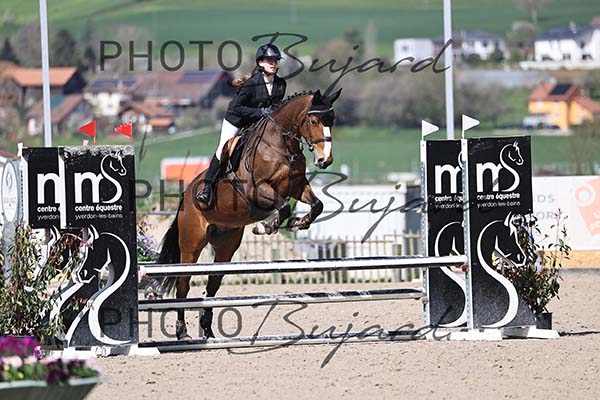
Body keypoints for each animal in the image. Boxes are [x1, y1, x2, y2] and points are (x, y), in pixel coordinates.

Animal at [157, 89, 342, 339]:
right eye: (313, 121)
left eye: (332, 121)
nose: (325, 161)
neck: (280, 146)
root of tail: (185, 195)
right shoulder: (256, 189)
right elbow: (283, 206)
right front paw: (266, 226)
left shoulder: (297, 186)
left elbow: (317, 205)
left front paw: (298, 223)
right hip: (191, 243)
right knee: (183, 284)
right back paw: (182, 333)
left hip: (226, 244)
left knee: (213, 283)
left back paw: (208, 332)